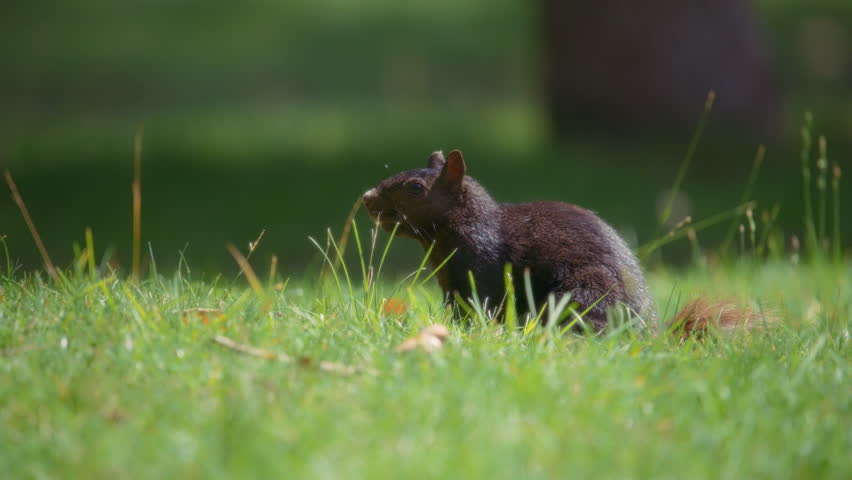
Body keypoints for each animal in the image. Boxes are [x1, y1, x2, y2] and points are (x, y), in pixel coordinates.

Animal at [362, 149, 752, 335]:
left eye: (415, 188)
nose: (366, 198)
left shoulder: (481, 270)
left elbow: (479, 310)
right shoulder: (451, 286)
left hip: (584, 293)